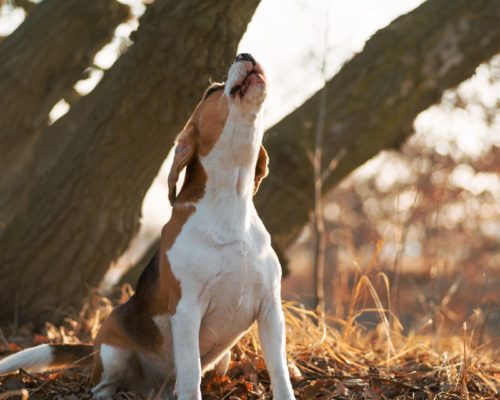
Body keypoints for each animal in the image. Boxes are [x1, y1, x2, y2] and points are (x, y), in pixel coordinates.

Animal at [0, 54, 296, 400]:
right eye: (211, 91)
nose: (245, 55)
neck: (231, 202)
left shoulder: (271, 310)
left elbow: (279, 372)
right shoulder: (187, 310)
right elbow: (190, 373)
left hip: (223, 359)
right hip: (113, 348)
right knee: (103, 385)